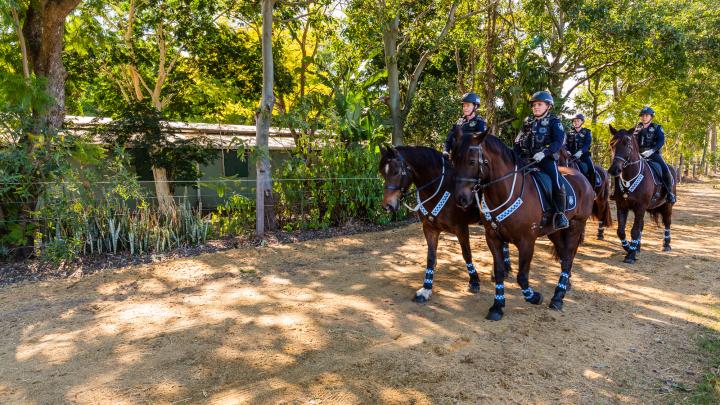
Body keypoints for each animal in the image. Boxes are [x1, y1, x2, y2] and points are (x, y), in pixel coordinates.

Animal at [376, 147, 512, 302]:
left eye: (396, 172)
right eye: (383, 173)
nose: (387, 206)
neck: (440, 188)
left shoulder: (461, 228)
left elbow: (466, 254)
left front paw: (474, 280)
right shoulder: (429, 229)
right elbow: (431, 257)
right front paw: (426, 288)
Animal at [452, 132, 592, 318]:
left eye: (472, 161)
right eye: (453, 160)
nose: (461, 199)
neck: (504, 194)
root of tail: (583, 178)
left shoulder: (526, 241)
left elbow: (522, 276)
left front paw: (534, 297)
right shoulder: (493, 238)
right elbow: (499, 272)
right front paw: (497, 306)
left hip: (576, 225)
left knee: (568, 257)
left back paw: (557, 297)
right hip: (554, 231)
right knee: (563, 254)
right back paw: (565, 285)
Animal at [608, 124, 676, 264]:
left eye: (628, 144)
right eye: (612, 144)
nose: (614, 170)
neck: (630, 177)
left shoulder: (640, 207)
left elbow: (634, 230)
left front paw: (630, 255)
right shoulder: (622, 207)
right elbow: (621, 231)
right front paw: (629, 248)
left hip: (667, 205)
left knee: (667, 222)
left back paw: (666, 244)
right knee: (641, 226)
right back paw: (637, 246)